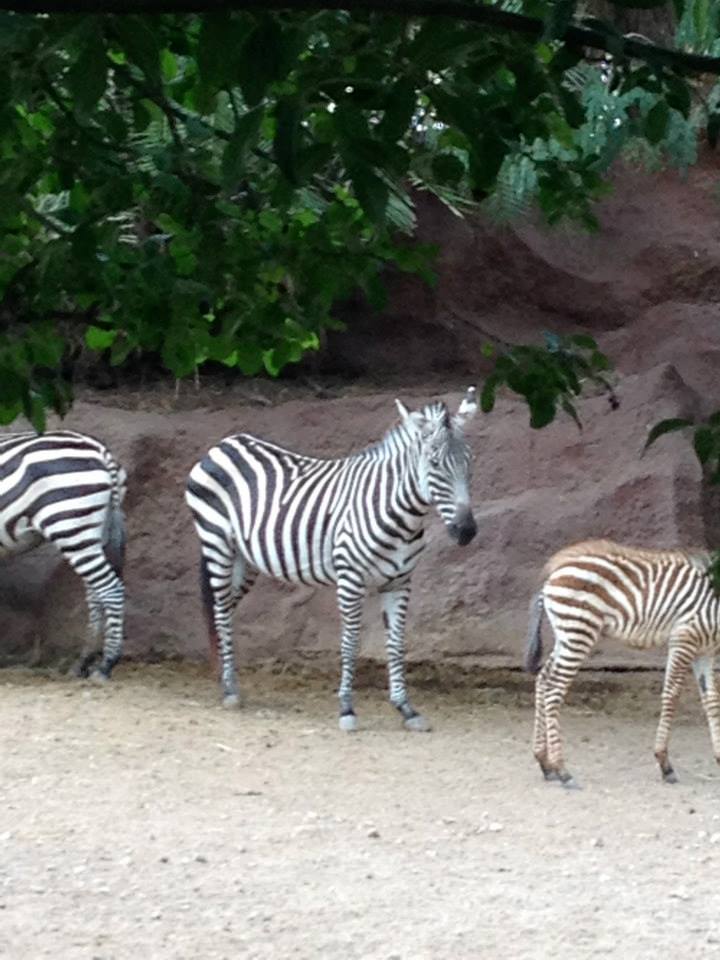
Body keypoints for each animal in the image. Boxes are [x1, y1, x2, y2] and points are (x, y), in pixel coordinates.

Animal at [0, 429, 126, 679]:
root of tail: (98, 448)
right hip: (93, 533)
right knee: (96, 593)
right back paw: (84, 661)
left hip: (69, 525)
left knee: (111, 589)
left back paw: (106, 664)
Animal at [185, 388, 478, 729]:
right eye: (434, 464)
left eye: (469, 463)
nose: (467, 531)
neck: (400, 516)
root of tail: (225, 443)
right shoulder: (350, 578)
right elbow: (350, 643)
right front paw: (347, 709)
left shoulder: (399, 581)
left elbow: (396, 644)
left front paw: (406, 708)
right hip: (217, 544)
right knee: (219, 611)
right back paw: (230, 690)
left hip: (245, 561)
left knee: (227, 612)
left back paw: (227, 681)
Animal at [526, 538, 720, 787]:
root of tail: (556, 566)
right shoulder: (683, 639)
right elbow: (671, 694)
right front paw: (664, 762)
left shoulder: (704, 651)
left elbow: (711, 701)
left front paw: (719, 756)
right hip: (579, 631)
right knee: (554, 689)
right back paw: (562, 770)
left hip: (567, 634)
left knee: (543, 679)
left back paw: (544, 762)